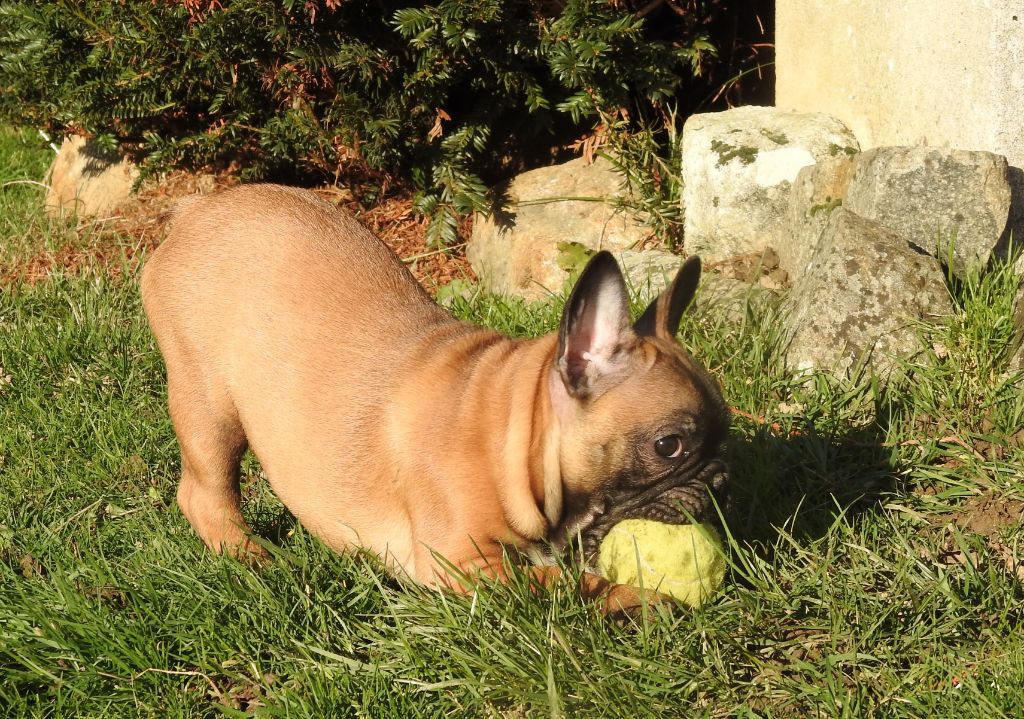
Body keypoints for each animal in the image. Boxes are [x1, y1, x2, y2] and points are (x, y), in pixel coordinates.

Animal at [142, 184, 729, 614]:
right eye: (669, 446)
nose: (721, 480)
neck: (512, 435)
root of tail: (198, 209)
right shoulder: (467, 568)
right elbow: (563, 586)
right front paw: (643, 599)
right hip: (209, 406)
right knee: (206, 493)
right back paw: (252, 558)